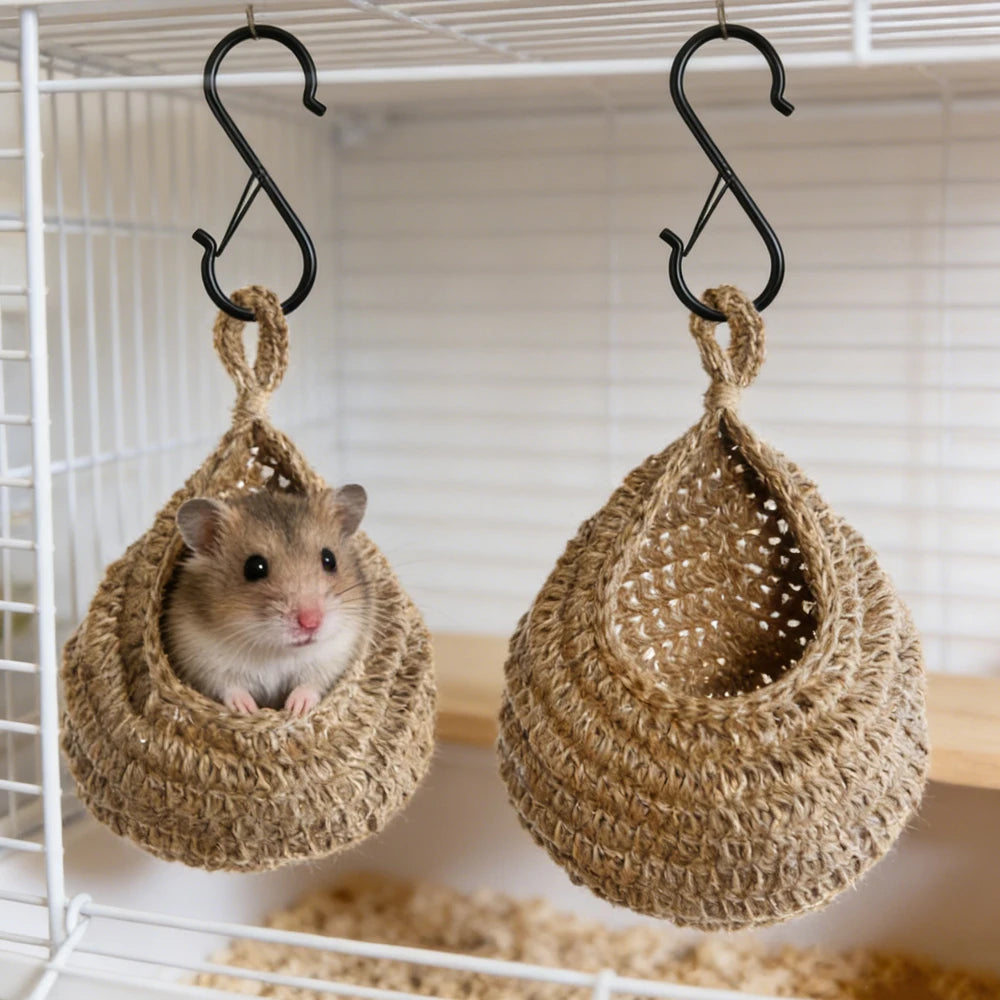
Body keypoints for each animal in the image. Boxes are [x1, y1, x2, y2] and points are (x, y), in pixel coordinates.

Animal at [163, 485, 372, 717]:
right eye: (254, 567)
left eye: (329, 559)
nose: (311, 623)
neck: (275, 650)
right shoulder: (201, 661)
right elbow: (229, 687)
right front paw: (248, 710)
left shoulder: (334, 656)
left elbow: (311, 684)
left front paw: (296, 709)